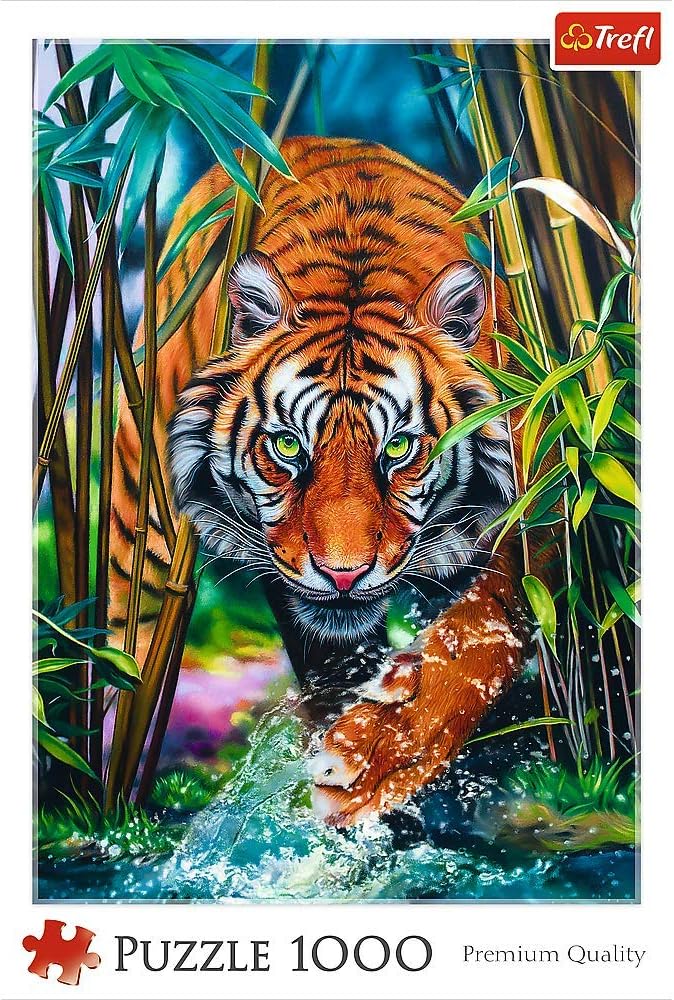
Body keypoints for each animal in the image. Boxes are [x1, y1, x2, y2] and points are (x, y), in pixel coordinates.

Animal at [109, 136, 557, 827]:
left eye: (399, 448)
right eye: (288, 445)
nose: (343, 575)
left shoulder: (536, 524)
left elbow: (476, 637)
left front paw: (370, 760)